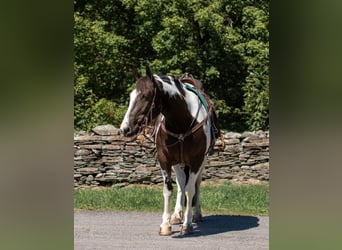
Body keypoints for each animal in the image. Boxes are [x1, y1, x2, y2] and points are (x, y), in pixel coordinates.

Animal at [119, 65, 218, 235]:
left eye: (145, 95)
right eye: (131, 96)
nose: (125, 128)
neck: (182, 123)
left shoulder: (197, 161)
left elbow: (190, 190)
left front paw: (187, 224)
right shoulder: (164, 160)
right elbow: (169, 189)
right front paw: (165, 224)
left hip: (202, 161)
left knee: (196, 184)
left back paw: (196, 214)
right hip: (178, 163)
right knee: (181, 182)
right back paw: (177, 215)